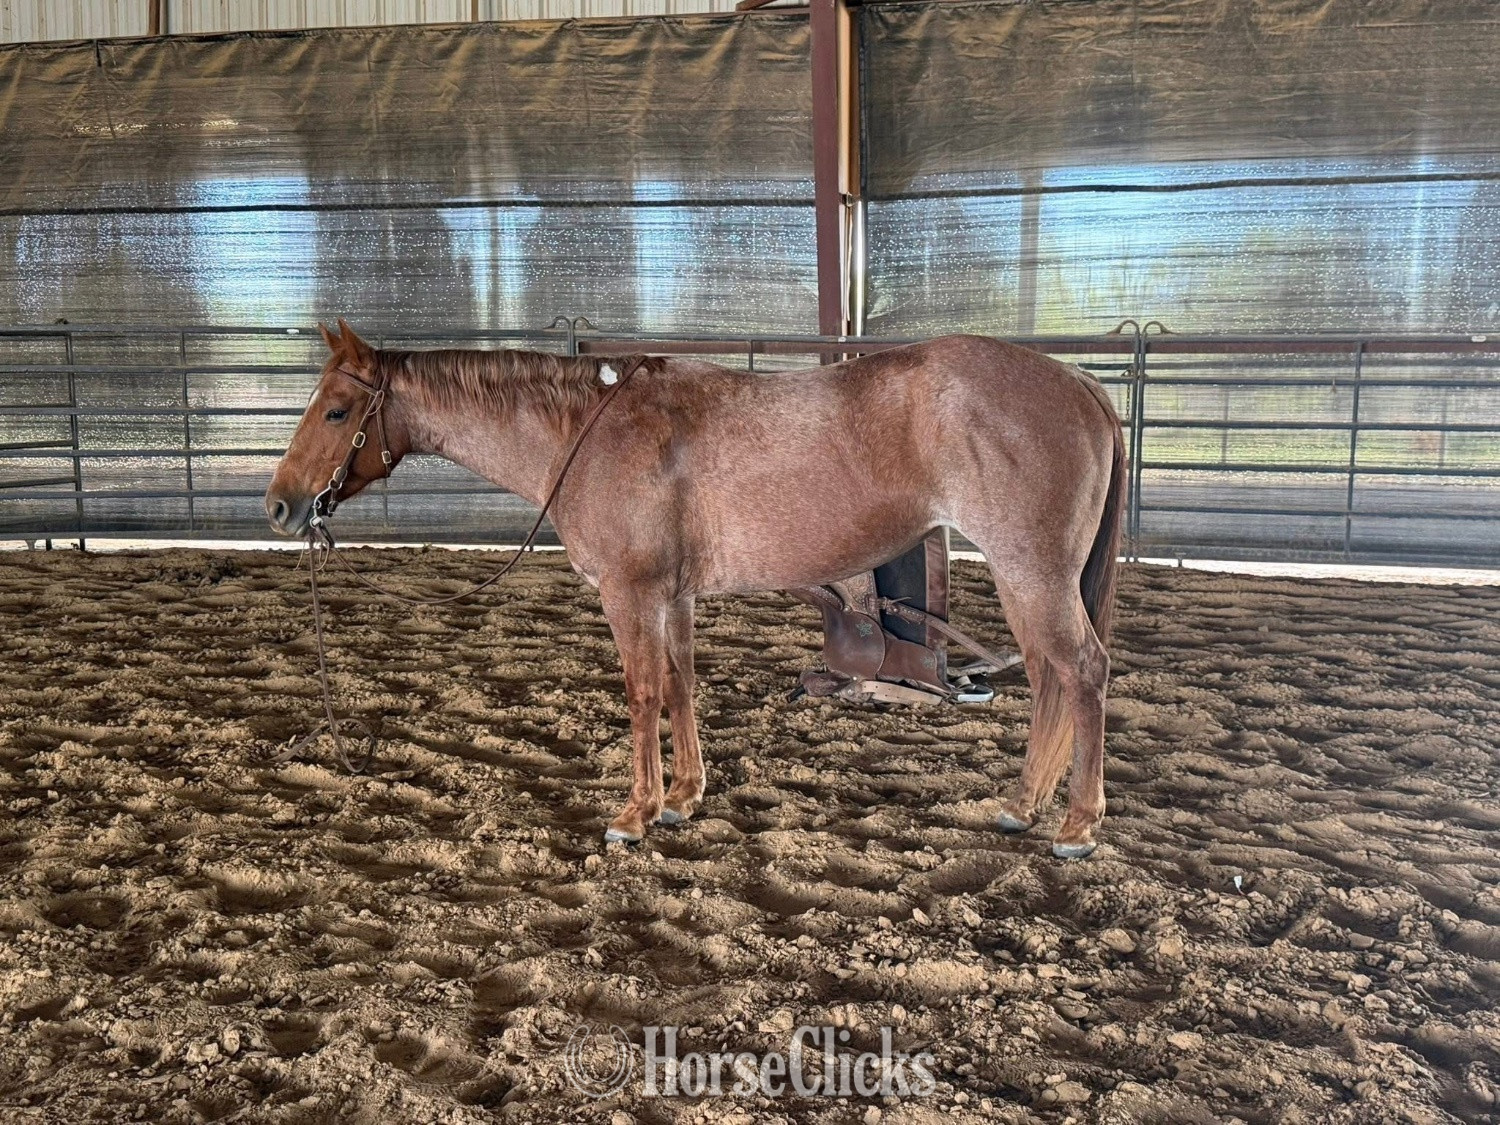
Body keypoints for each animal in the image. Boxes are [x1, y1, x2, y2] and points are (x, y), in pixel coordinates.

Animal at [265, 320, 1125, 858]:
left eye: (337, 409)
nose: (280, 504)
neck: (590, 432)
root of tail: (1078, 383)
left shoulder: (628, 593)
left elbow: (643, 690)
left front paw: (636, 812)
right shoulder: (671, 596)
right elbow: (680, 682)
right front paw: (683, 794)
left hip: (1031, 572)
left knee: (1081, 671)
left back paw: (1078, 826)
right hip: (1027, 580)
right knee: (1049, 678)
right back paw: (1023, 804)